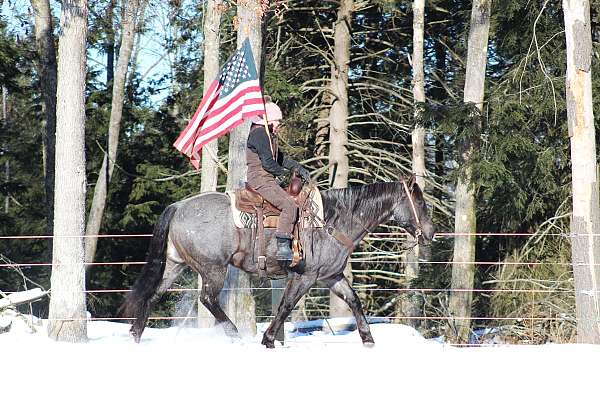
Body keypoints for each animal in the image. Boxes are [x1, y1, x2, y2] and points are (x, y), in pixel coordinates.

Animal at [119, 175, 434, 346]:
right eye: (420, 202)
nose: (430, 232)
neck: (333, 219)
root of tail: (178, 206)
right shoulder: (305, 276)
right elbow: (286, 305)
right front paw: (268, 339)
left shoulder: (332, 276)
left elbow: (354, 301)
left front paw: (368, 339)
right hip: (213, 269)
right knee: (207, 299)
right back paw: (235, 334)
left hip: (175, 265)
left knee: (153, 295)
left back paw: (135, 335)